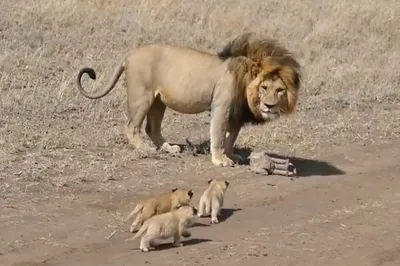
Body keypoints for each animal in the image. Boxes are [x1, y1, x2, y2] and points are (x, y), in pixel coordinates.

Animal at [76, 32, 300, 166]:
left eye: (280, 90)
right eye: (264, 87)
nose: (269, 106)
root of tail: (129, 55)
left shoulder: (236, 113)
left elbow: (231, 137)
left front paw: (231, 155)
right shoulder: (221, 106)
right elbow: (219, 135)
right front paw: (219, 159)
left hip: (158, 101)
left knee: (152, 128)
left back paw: (168, 148)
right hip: (142, 96)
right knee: (132, 126)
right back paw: (146, 149)